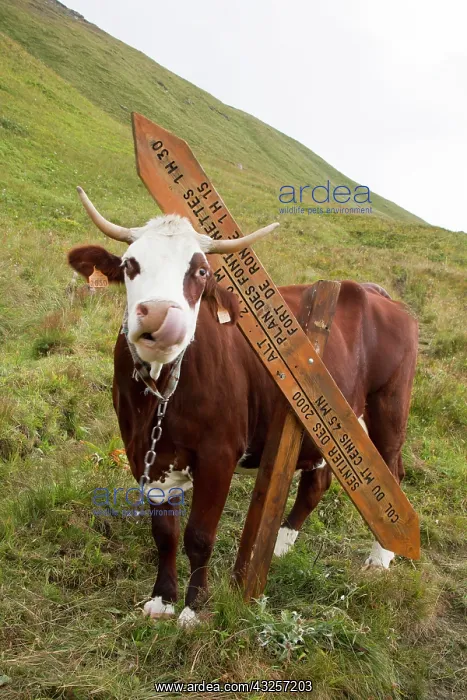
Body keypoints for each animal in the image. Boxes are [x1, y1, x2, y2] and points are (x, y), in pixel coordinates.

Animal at [68, 187, 418, 627]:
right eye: (131, 264)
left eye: (201, 272)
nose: (162, 317)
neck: (159, 397)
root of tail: (374, 292)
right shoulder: (147, 455)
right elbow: (164, 534)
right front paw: (162, 599)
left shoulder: (218, 454)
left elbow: (199, 536)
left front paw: (193, 609)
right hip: (331, 419)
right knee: (317, 481)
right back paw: (282, 545)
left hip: (389, 407)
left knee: (393, 473)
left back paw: (381, 557)